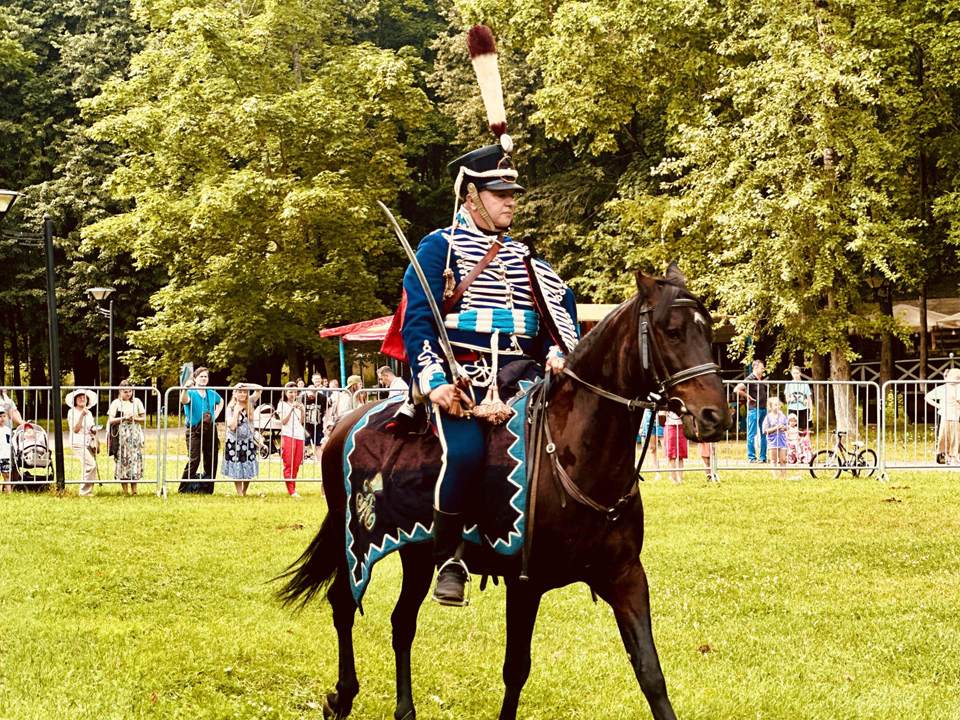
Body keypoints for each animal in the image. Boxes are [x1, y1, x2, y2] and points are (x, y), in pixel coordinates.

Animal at [276, 266, 728, 720]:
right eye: (672, 331)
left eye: (708, 333)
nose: (715, 417)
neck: (576, 453)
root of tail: (343, 423)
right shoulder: (525, 583)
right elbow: (516, 669)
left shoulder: (626, 577)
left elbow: (650, 672)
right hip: (355, 542)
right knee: (343, 603)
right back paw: (342, 695)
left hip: (417, 554)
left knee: (402, 623)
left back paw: (403, 708)